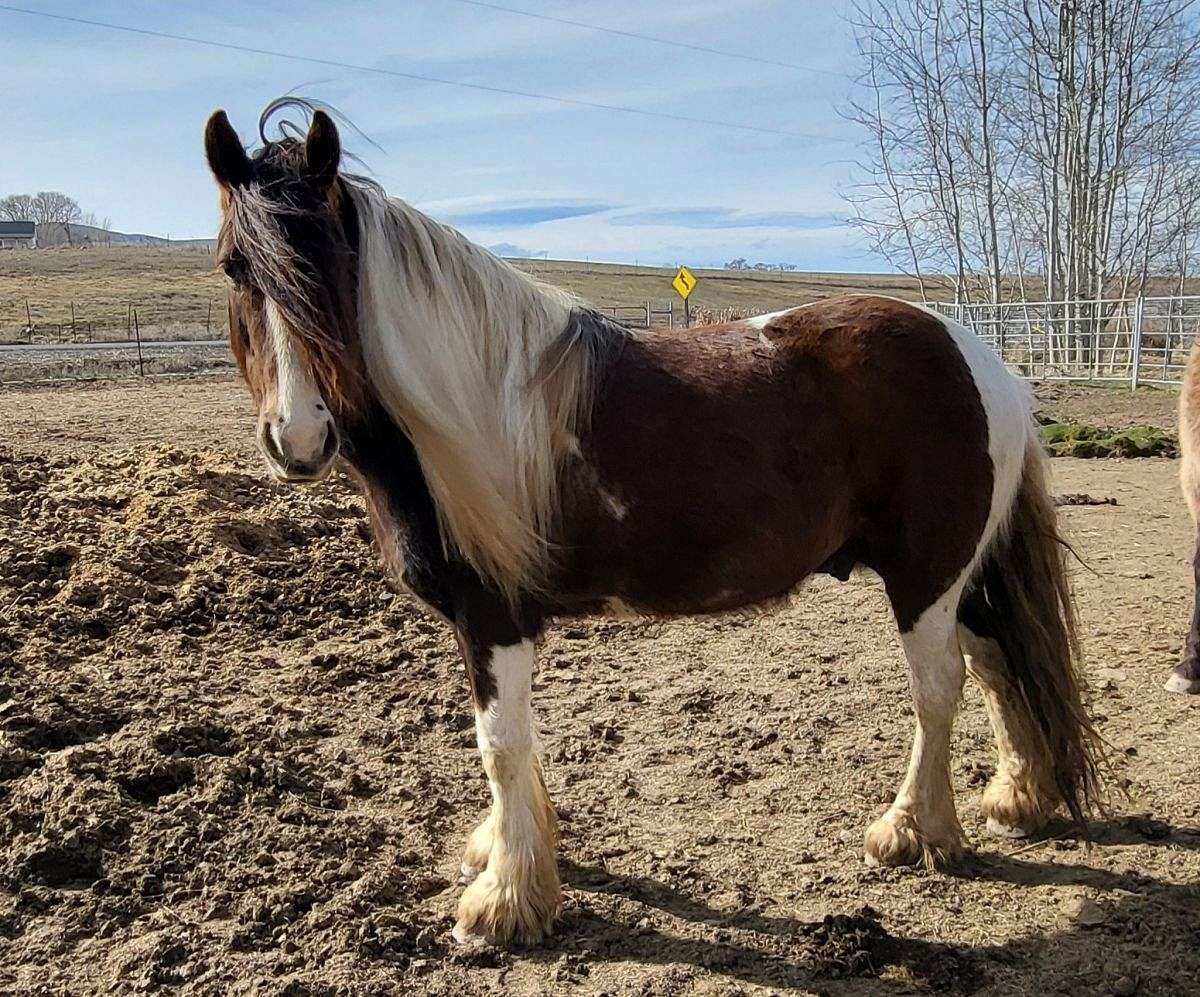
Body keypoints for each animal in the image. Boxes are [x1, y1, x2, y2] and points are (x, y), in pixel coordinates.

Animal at [201, 105, 1099, 945]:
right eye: (235, 268)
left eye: (332, 266)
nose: (299, 439)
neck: (461, 412)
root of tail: (982, 360)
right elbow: (511, 746)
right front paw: (506, 853)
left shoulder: (493, 616)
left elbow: (500, 743)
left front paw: (504, 901)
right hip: (957, 574)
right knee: (995, 662)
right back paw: (1016, 796)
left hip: (925, 575)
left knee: (938, 686)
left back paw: (913, 830)